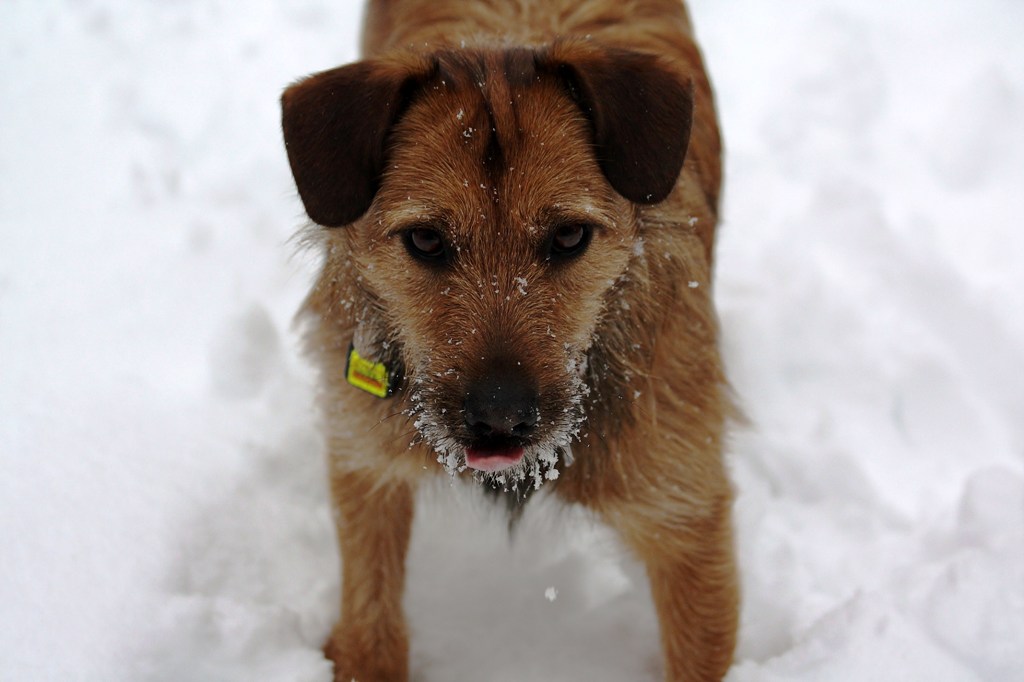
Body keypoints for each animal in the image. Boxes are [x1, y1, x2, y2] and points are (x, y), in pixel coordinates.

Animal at [280, 0, 741, 675]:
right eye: (425, 240)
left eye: (570, 236)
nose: (500, 417)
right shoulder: (363, 459)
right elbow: (371, 618)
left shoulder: (687, 520)